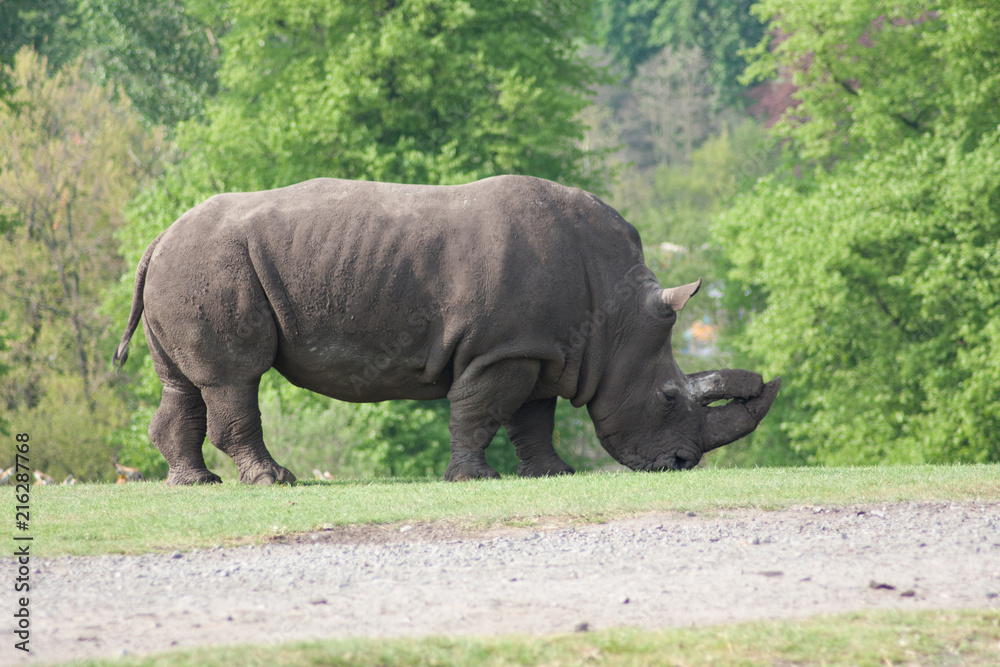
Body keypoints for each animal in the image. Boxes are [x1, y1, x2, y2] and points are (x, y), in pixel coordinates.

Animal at [113, 176, 779, 485]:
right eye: (667, 397)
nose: (681, 463)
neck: (614, 316)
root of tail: (159, 236)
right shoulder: (502, 349)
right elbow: (482, 409)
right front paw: (474, 479)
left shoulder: (542, 348)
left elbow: (532, 416)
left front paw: (554, 474)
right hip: (211, 263)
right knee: (234, 377)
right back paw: (274, 482)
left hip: (184, 266)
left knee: (182, 384)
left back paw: (196, 484)